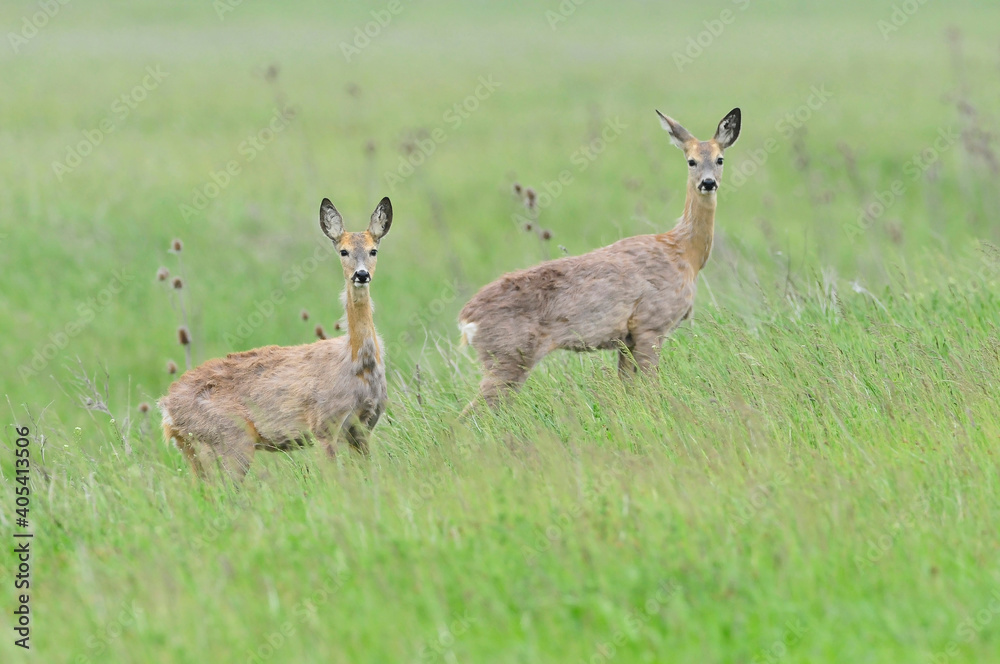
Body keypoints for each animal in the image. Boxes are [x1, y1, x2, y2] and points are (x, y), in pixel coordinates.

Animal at [158, 195, 392, 480]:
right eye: (343, 251)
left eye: (373, 250)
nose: (361, 275)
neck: (357, 362)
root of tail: (167, 410)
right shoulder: (323, 424)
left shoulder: (364, 427)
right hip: (232, 439)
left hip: (195, 449)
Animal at [458, 107, 740, 410]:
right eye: (691, 161)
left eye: (720, 159)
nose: (708, 183)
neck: (684, 252)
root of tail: (466, 320)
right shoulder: (651, 324)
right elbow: (651, 388)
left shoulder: (626, 339)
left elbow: (627, 389)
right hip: (508, 356)